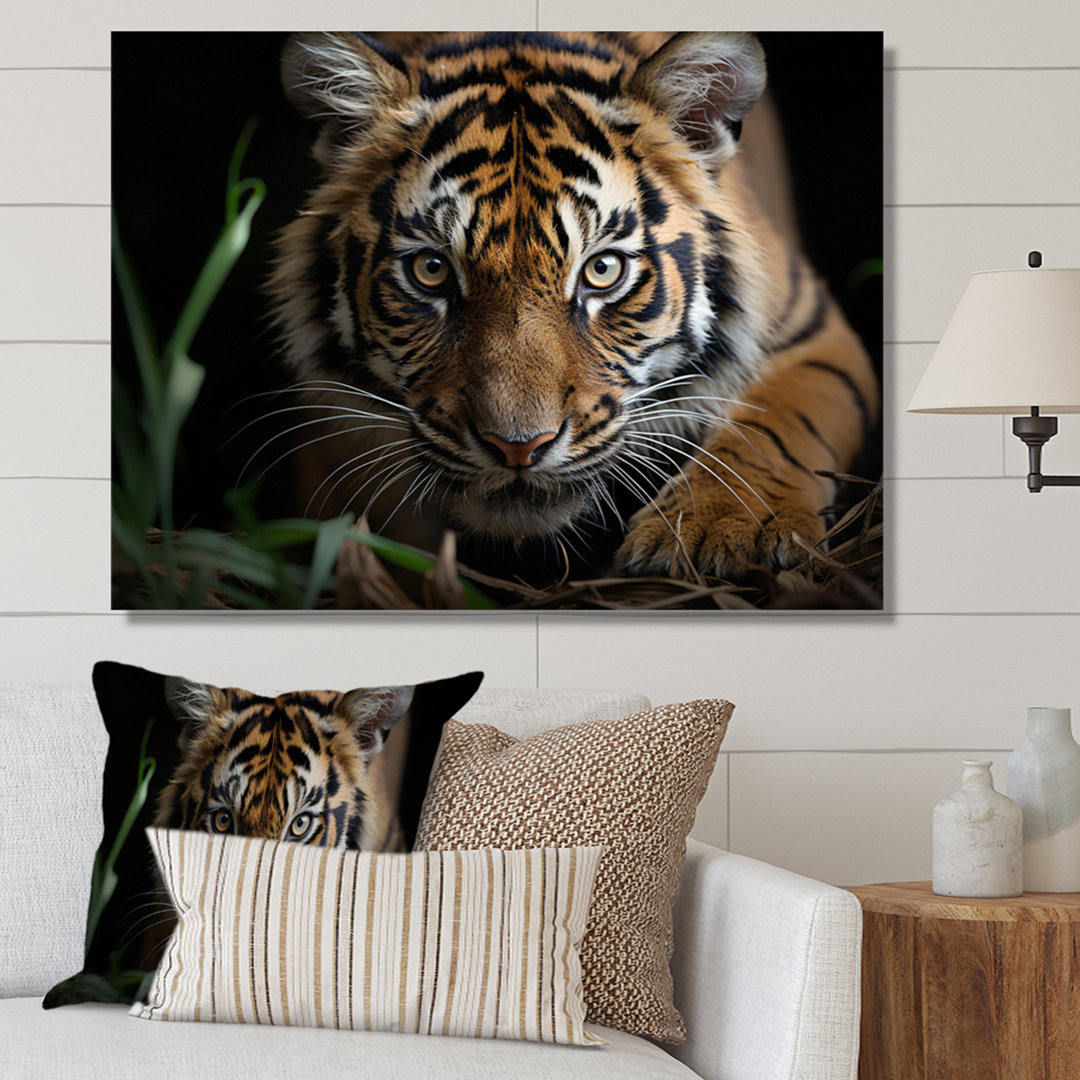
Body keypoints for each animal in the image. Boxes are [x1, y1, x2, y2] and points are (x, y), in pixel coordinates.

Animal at [268, 31, 879, 583]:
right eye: (431, 270)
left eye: (601, 270)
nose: (517, 449)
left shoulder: (810, 329)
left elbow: (775, 424)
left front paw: (723, 529)